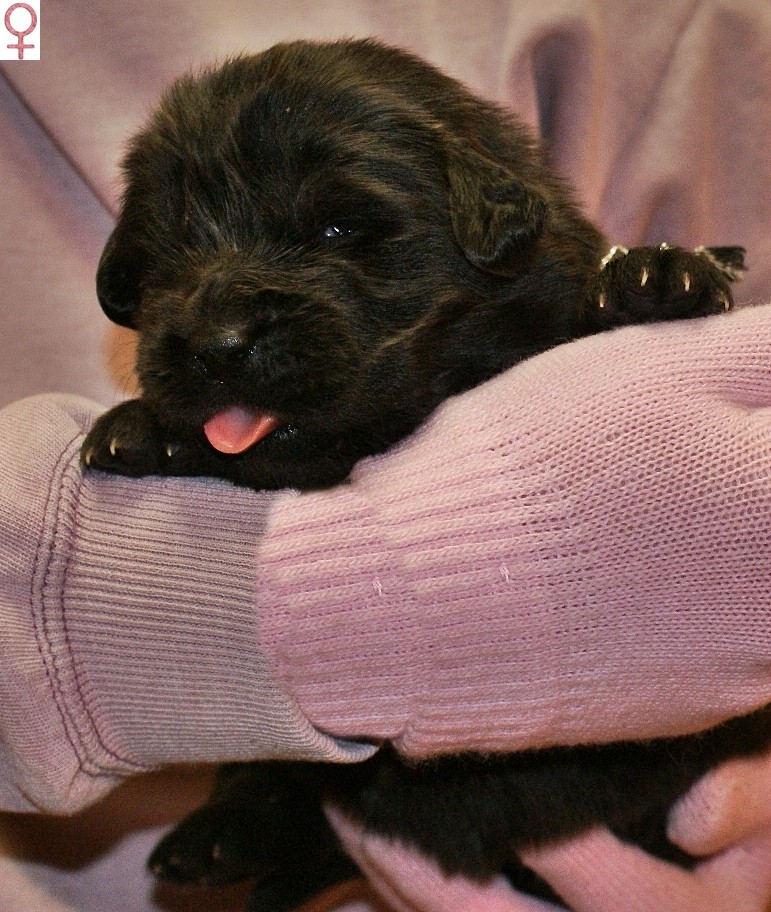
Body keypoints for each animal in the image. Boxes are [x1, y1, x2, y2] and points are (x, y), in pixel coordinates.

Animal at [82, 38, 767, 910]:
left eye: (339, 226)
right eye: (172, 248)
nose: (218, 343)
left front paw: (652, 277)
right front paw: (142, 428)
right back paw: (221, 836)